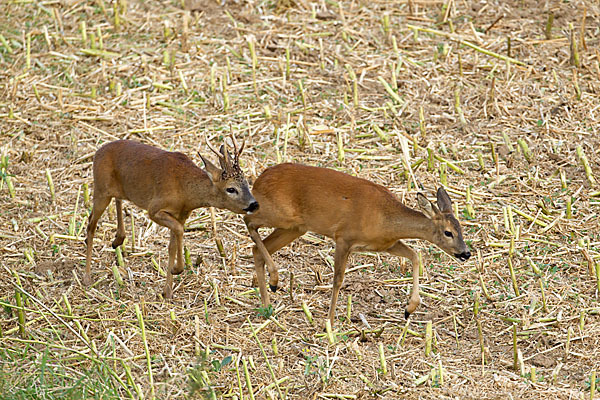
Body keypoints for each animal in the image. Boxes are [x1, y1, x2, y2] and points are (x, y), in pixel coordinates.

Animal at [83, 139, 256, 298]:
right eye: (231, 189)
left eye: (247, 183)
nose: (254, 204)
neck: (186, 191)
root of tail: (98, 152)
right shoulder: (154, 209)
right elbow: (178, 231)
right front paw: (177, 269)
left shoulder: (181, 215)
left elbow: (172, 245)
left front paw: (167, 291)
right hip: (101, 189)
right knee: (91, 225)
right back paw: (87, 278)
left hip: (115, 190)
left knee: (117, 199)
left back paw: (118, 239)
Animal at [246, 163, 472, 328]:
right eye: (448, 232)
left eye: (461, 229)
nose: (466, 253)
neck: (384, 217)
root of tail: (259, 180)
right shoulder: (343, 237)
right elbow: (338, 280)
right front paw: (329, 322)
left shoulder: (386, 244)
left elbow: (415, 255)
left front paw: (409, 309)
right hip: (280, 215)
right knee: (249, 221)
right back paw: (274, 280)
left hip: (295, 228)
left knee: (257, 248)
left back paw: (267, 304)